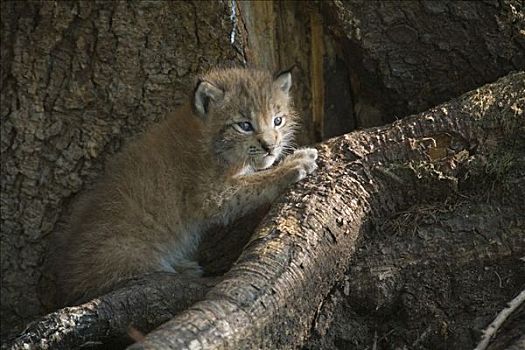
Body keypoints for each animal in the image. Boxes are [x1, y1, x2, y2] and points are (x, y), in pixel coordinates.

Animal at [54, 67, 316, 304]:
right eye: (244, 125)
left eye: (278, 121)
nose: (270, 147)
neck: (207, 141)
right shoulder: (210, 194)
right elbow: (253, 184)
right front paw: (293, 164)